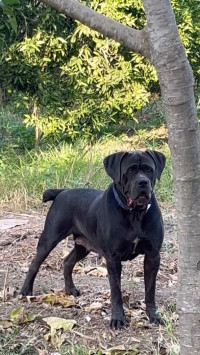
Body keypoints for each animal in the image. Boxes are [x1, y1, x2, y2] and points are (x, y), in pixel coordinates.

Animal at [21, 149, 166, 330]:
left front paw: (153, 316)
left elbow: (150, 290)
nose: (143, 182)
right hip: (49, 239)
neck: (135, 214)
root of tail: (62, 192)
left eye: (148, 169)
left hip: (83, 246)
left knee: (68, 261)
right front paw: (117, 319)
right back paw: (26, 290)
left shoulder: (153, 255)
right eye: (130, 171)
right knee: (35, 263)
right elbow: (116, 292)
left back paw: (70, 289)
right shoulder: (113, 258)